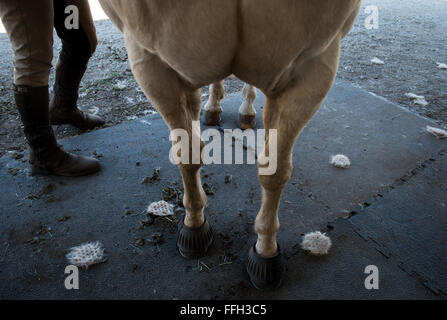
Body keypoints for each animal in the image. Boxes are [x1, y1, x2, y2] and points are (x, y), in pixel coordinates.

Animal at [100, 0, 362, 290]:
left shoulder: (313, 68)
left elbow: (275, 172)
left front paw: (265, 252)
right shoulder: (153, 63)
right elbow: (188, 154)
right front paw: (194, 226)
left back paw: (245, 111)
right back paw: (212, 107)